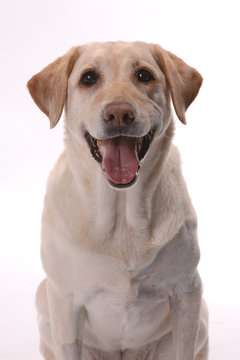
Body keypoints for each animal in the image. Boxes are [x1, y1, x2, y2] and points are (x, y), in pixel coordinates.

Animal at [27, 40, 208, 358]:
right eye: (88, 77)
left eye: (144, 75)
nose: (120, 114)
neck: (121, 217)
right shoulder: (64, 299)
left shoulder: (187, 290)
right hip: (44, 302)